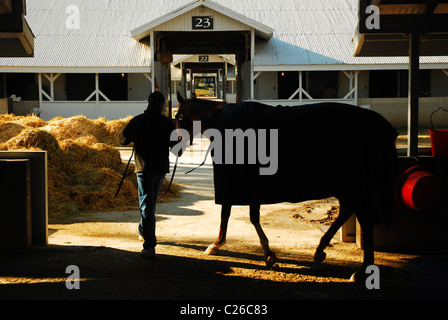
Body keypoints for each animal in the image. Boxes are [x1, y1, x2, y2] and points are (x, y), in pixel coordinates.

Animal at [176, 93, 400, 282]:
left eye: (178, 116)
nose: (175, 148)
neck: (223, 121)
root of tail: (381, 126)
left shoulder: (233, 184)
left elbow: (228, 215)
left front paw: (216, 245)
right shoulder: (251, 187)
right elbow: (252, 217)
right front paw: (268, 254)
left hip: (353, 186)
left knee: (363, 218)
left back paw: (361, 270)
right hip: (350, 188)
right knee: (349, 212)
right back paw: (322, 251)